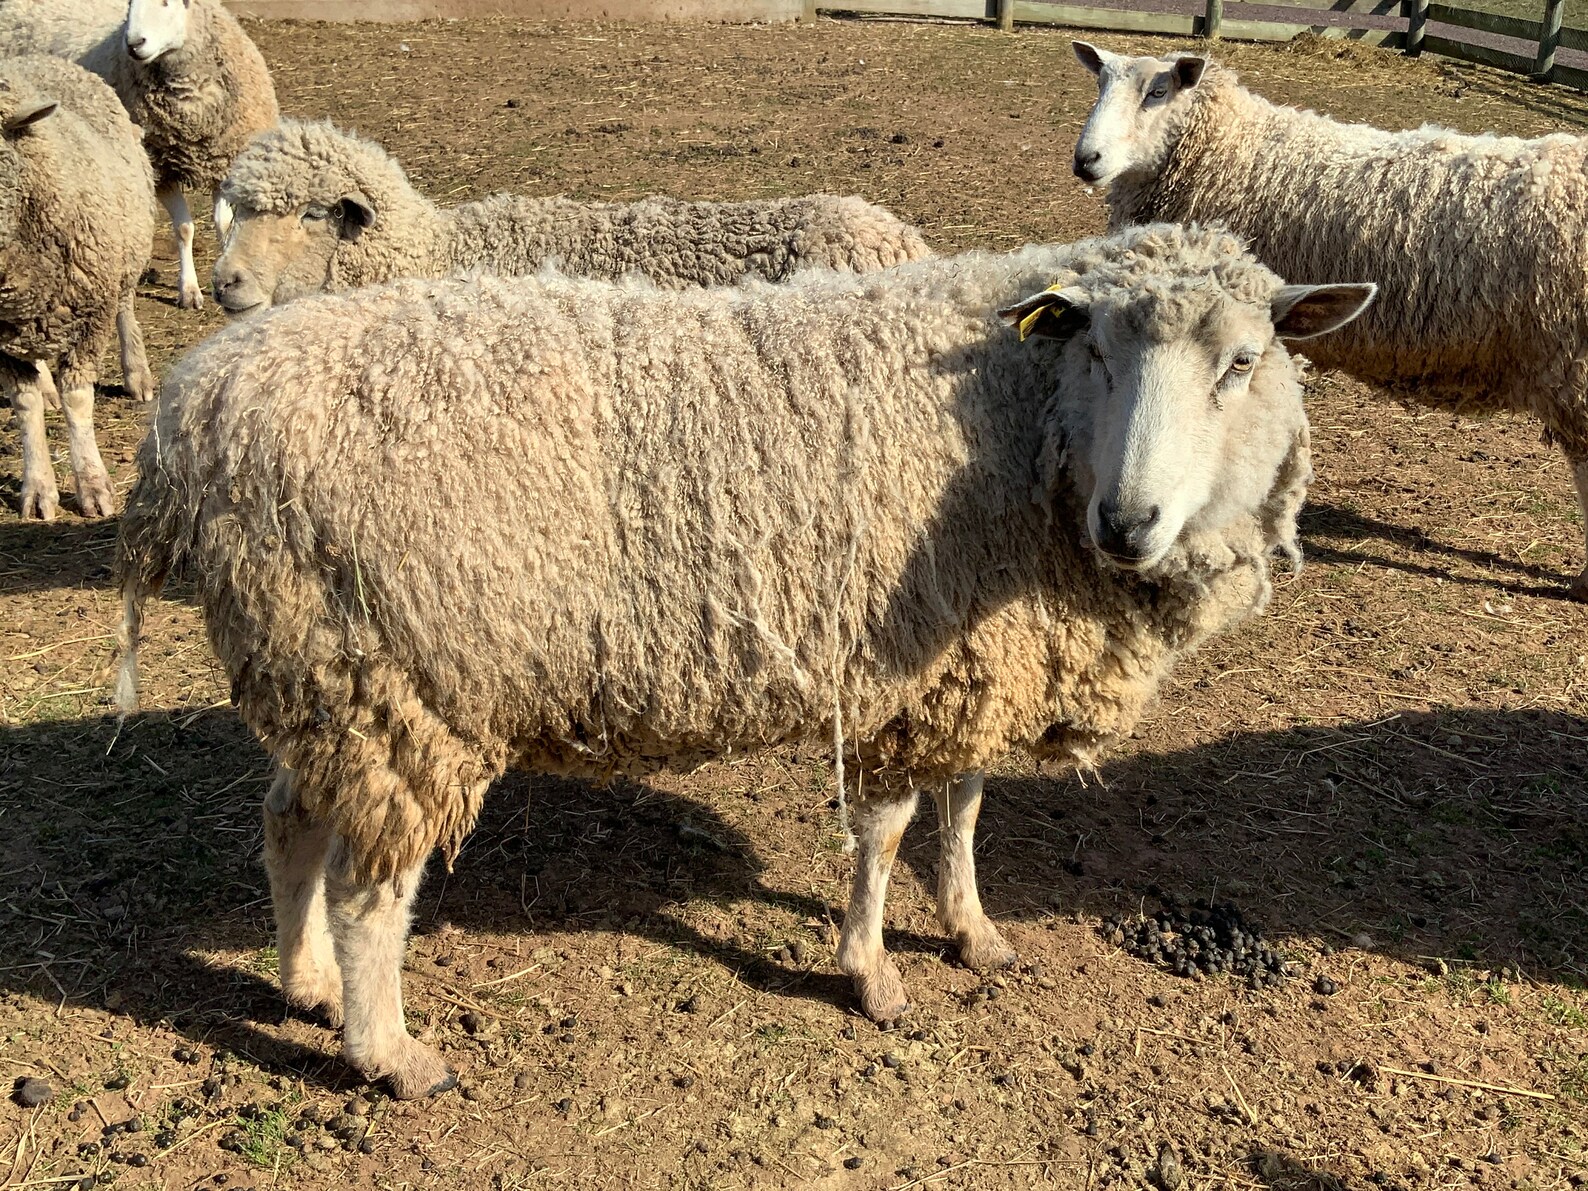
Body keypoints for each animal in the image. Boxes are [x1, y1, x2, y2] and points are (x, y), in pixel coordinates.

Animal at [0, 0, 279, 309]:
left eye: (168, 3)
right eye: (130, 4)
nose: (134, 44)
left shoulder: (224, 162)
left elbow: (224, 223)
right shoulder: (159, 169)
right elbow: (184, 229)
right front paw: (189, 290)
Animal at [1, 54, 155, 520]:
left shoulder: (90, 316)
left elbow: (79, 401)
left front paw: (92, 483)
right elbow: (25, 404)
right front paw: (37, 488)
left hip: (122, 258)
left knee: (126, 310)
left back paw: (137, 374)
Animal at [115, 223, 1373, 1097]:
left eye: (1243, 362)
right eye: (1100, 350)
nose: (1129, 523)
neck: (1024, 425)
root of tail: (193, 412)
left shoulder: (977, 662)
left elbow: (963, 811)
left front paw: (972, 933)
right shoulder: (905, 674)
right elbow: (888, 833)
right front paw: (872, 975)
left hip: (330, 677)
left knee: (290, 826)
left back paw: (306, 984)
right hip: (411, 688)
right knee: (372, 889)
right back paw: (387, 1051)